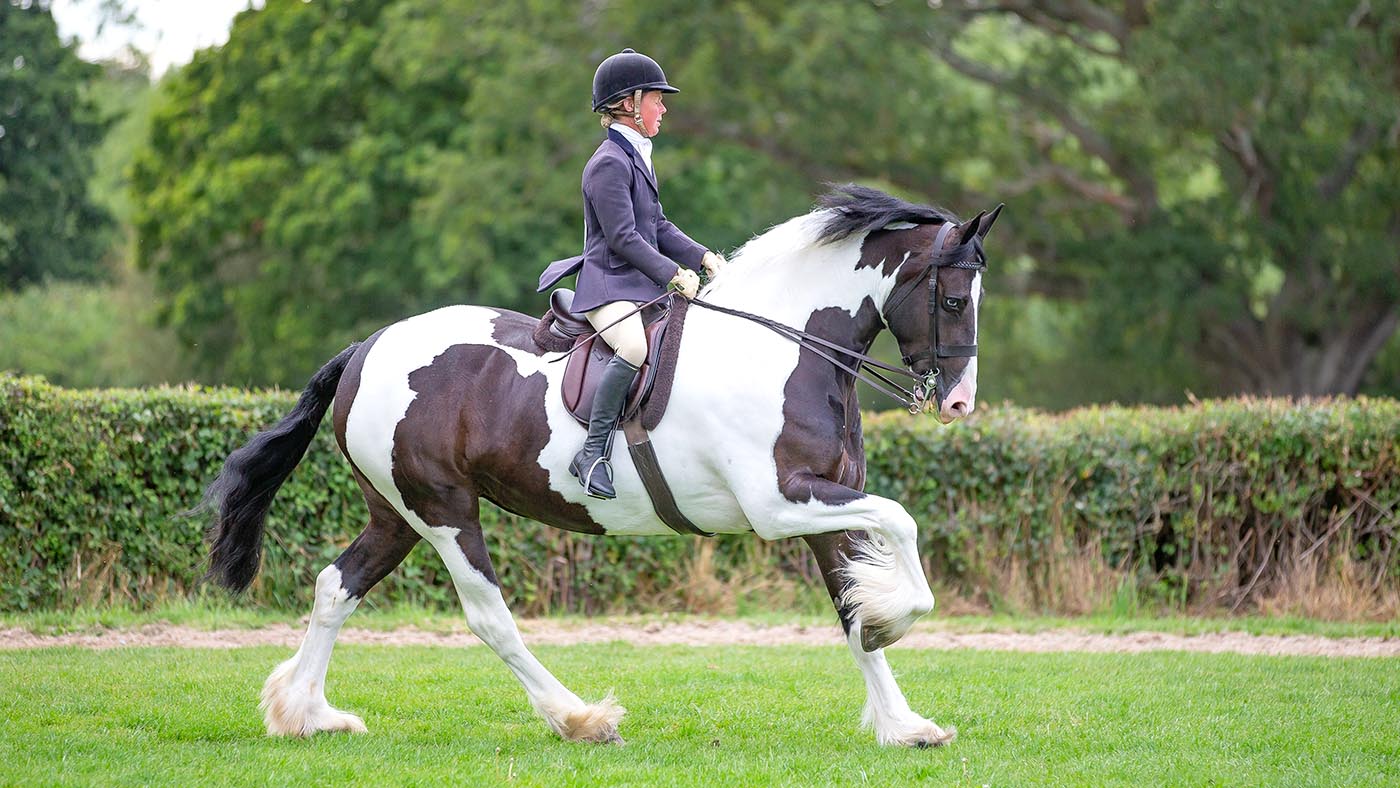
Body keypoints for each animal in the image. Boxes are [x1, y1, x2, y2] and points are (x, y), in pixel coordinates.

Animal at [203, 184, 1001, 748]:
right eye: (952, 300)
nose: (960, 403)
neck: (786, 345)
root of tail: (365, 349)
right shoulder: (782, 504)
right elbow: (902, 524)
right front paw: (897, 618)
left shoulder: (822, 503)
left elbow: (849, 609)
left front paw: (904, 724)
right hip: (443, 509)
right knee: (488, 615)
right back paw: (581, 718)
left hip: (395, 513)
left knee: (336, 587)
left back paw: (305, 715)